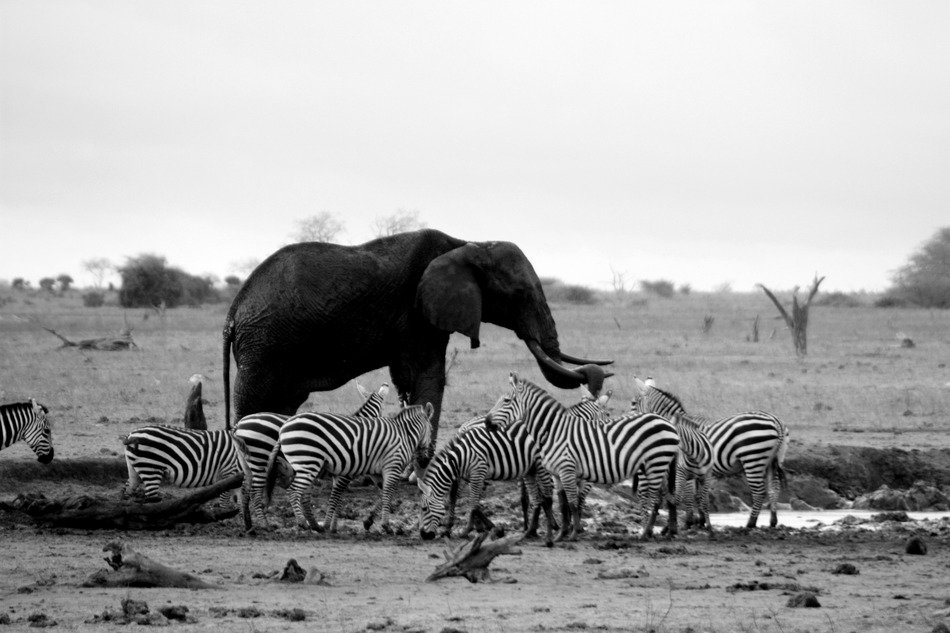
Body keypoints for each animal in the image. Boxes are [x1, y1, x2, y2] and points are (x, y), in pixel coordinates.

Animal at [222, 228, 611, 452]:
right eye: (519, 294)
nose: (599, 374)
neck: (467, 244)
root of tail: (233, 310)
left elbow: (412, 379)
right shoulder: (416, 313)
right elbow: (425, 376)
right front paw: (420, 466)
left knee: (281, 403)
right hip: (265, 345)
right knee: (255, 400)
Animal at [234, 381, 389, 529]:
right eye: (382, 412)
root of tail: (239, 425)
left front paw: (335, 526)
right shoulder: (347, 473)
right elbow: (338, 498)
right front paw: (333, 526)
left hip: (247, 462)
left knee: (244, 490)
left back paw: (247, 524)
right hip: (261, 460)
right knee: (255, 491)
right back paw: (265, 524)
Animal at [268, 402, 434, 533]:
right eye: (431, 429)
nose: (426, 459)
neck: (404, 435)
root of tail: (283, 428)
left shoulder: (376, 472)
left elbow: (382, 494)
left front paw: (368, 521)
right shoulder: (392, 467)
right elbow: (388, 494)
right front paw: (386, 526)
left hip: (305, 464)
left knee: (301, 493)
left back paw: (313, 524)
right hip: (308, 461)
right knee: (293, 491)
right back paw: (302, 523)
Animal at [416, 423, 557, 545]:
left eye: (424, 508)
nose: (423, 535)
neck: (461, 457)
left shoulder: (478, 473)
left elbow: (472, 504)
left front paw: (466, 531)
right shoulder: (472, 477)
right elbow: (470, 502)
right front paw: (491, 527)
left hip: (541, 466)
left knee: (547, 498)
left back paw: (550, 537)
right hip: (530, 470)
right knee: (538, 500)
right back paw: (531, 532)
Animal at [490, 373, 680, 542]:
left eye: (506, 401)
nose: (487, 422)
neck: (554, 431)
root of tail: (668, 422)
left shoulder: (569, 470)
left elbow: (574, 503)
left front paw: (573, 534)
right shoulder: (557, 474)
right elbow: (563, 504)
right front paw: (561, 535)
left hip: (656, 463)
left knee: (654, 499)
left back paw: (645, 534)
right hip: (656, 466)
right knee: (660, 497)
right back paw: (652, 532)